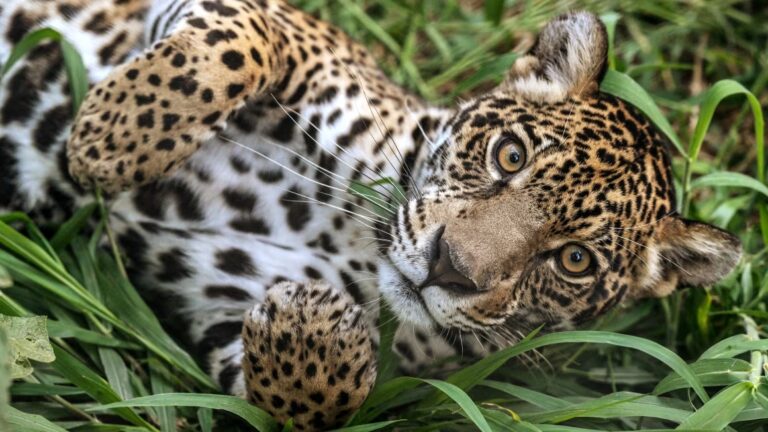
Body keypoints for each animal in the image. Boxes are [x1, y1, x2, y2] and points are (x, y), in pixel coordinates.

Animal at [0, 0, 742, 430]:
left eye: (574, 260)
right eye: (509, 155)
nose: (450, 267)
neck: (357, 235)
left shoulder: (213, 303)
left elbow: (319, 403)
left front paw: (312, 327)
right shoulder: (276, 27)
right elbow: (237, 43)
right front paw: (110, 139)